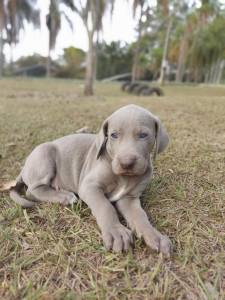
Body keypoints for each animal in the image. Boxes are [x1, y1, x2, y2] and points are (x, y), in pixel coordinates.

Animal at [10, 105, 172, 255]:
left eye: (143, 135)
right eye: (113, 135)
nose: (126, 163)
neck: (123, 177)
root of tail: (24, 167)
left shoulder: (129, 198)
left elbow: (140, 216)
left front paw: (154, 236)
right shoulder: (89, 187)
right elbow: (105, 206)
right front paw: (116, 232)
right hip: (44, 154)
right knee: (32, 191)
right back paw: (64, 196)